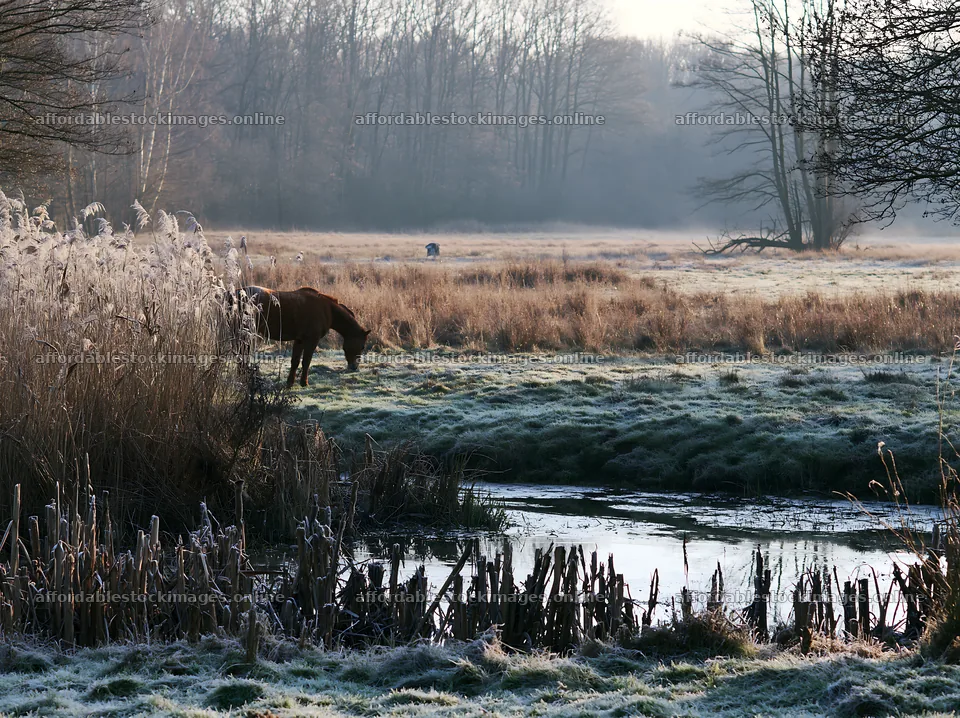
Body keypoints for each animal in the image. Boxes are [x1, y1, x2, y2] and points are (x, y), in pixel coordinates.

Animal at [235, 286, 370, 386]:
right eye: (363, 346)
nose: (354, 367)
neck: (327, 309)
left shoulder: (299, 340)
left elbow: (295, 361)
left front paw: (290, 383)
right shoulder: (312, 340)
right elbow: (306, 361)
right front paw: (304, 383)